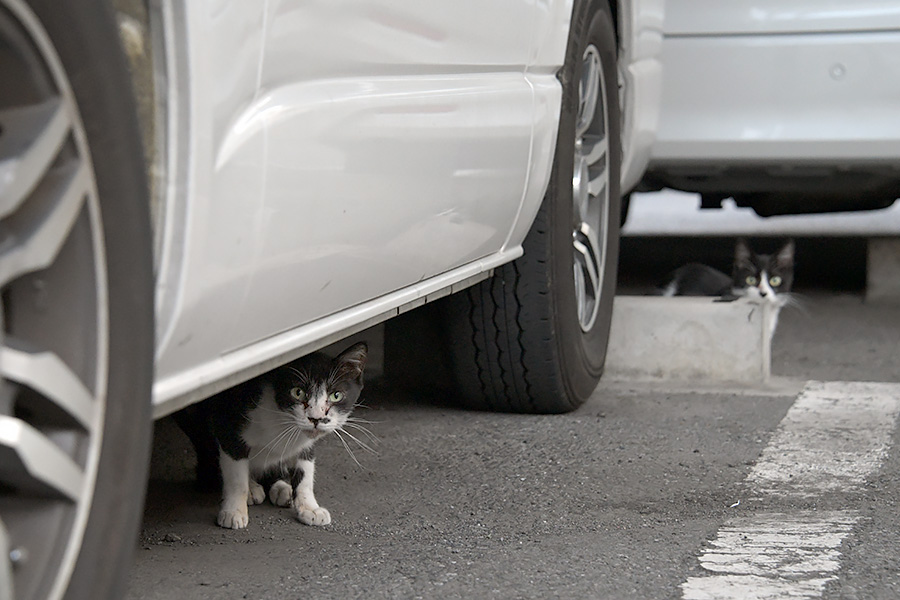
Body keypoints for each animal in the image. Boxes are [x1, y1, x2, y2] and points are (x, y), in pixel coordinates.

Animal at [176, 342, 366, 528]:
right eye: (297, 392)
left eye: (336, 395)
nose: (316, 418)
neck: (283, 422)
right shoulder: (228, 425)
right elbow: (237, 477)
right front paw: (234, 511)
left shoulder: (306, 443)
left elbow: (305, 470)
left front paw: (310, 508)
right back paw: (249, 488)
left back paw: (281, 487)